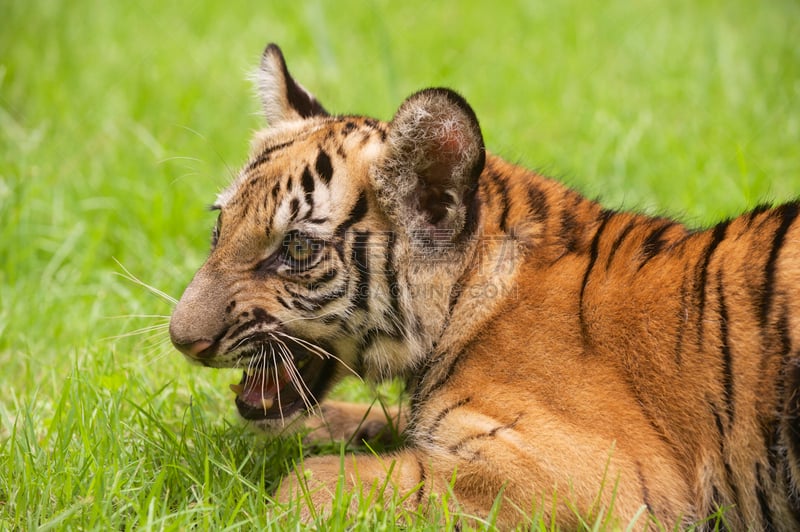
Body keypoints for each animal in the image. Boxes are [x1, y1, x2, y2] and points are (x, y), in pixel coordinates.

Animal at [169, 42, 800, 528]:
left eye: (297, 249)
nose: (181, 340)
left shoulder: (582, 482)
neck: (468, 301)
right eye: (221, 226)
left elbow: (315, 481)